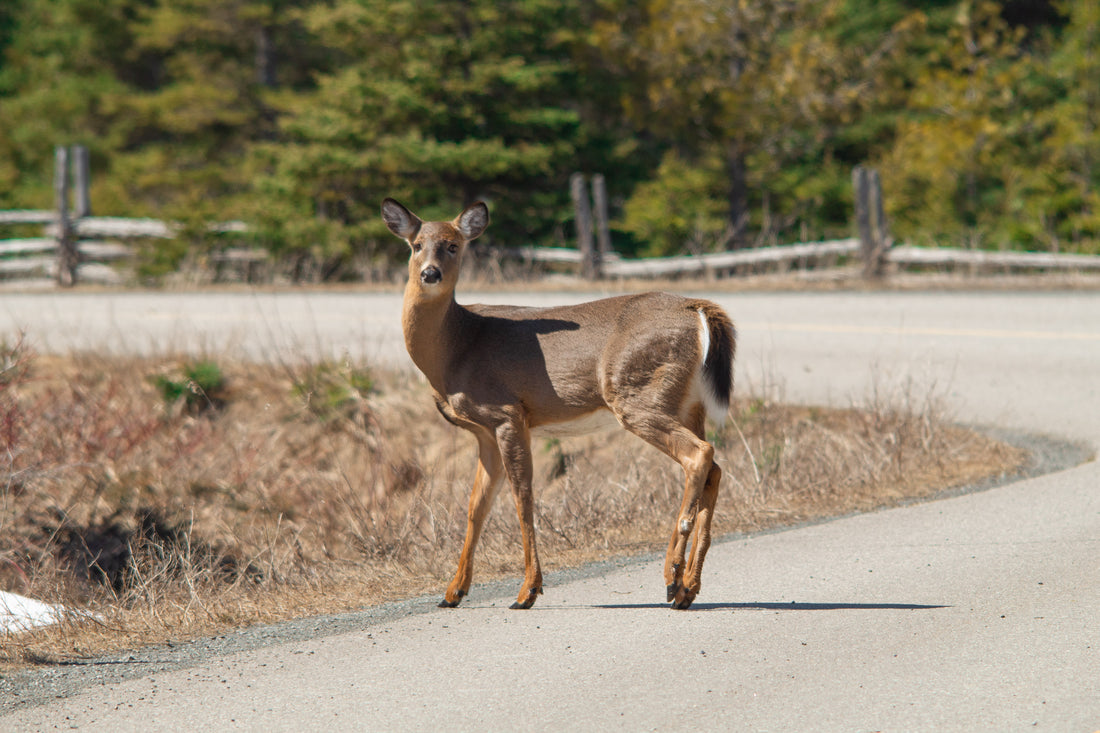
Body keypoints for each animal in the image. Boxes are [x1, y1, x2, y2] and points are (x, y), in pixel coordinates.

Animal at [382, 197, 734, 607]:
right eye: (416, 245)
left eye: (453, 245)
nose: (430, 273)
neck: (456, 347)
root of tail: (696, 308)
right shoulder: (483, 432)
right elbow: (476, 506)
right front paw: (453, 592)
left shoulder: (507, 413)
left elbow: (522, 497)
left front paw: (527, 590)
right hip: (687, 403)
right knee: (715, 467)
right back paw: (687, 588)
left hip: (637, 394)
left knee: (699, 455)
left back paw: (671, 574)